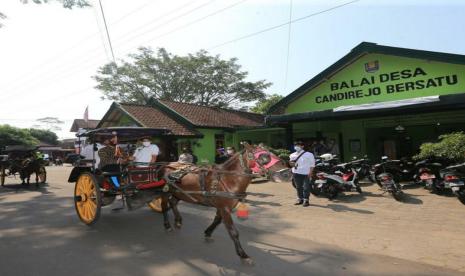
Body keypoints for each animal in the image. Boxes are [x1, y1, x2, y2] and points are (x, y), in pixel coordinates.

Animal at [160, 143, 290, 264]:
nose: (287, 173)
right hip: (166, 192)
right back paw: (167, 225)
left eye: (273, 153)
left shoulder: (223, 207)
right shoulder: (224, 208)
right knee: (164, 206)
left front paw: (208, 233)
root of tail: (166, 165)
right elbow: (233, 231)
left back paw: (178, 221)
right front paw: (243, 255)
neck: (227, 178)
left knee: (173, 202)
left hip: (179, 193)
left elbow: (217, 220)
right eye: (264, 157)